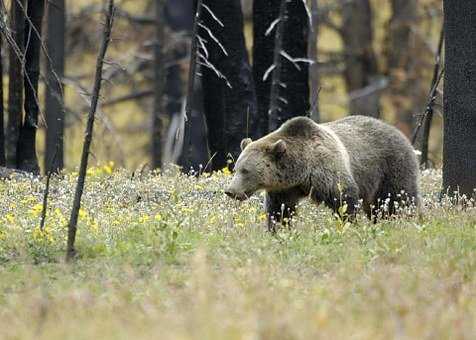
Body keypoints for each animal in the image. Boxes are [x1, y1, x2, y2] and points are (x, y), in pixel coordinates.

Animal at [225, 115, 418, 230]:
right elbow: (280, 210)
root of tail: (398, 131)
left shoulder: (326, 170)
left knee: (398, 199)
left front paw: (348, 225)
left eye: (245, 171)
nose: (230, 191)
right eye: (235, 169)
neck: (301, 170)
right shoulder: (284, 188)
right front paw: (278, 229)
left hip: (391, 167)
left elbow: (344, 198)